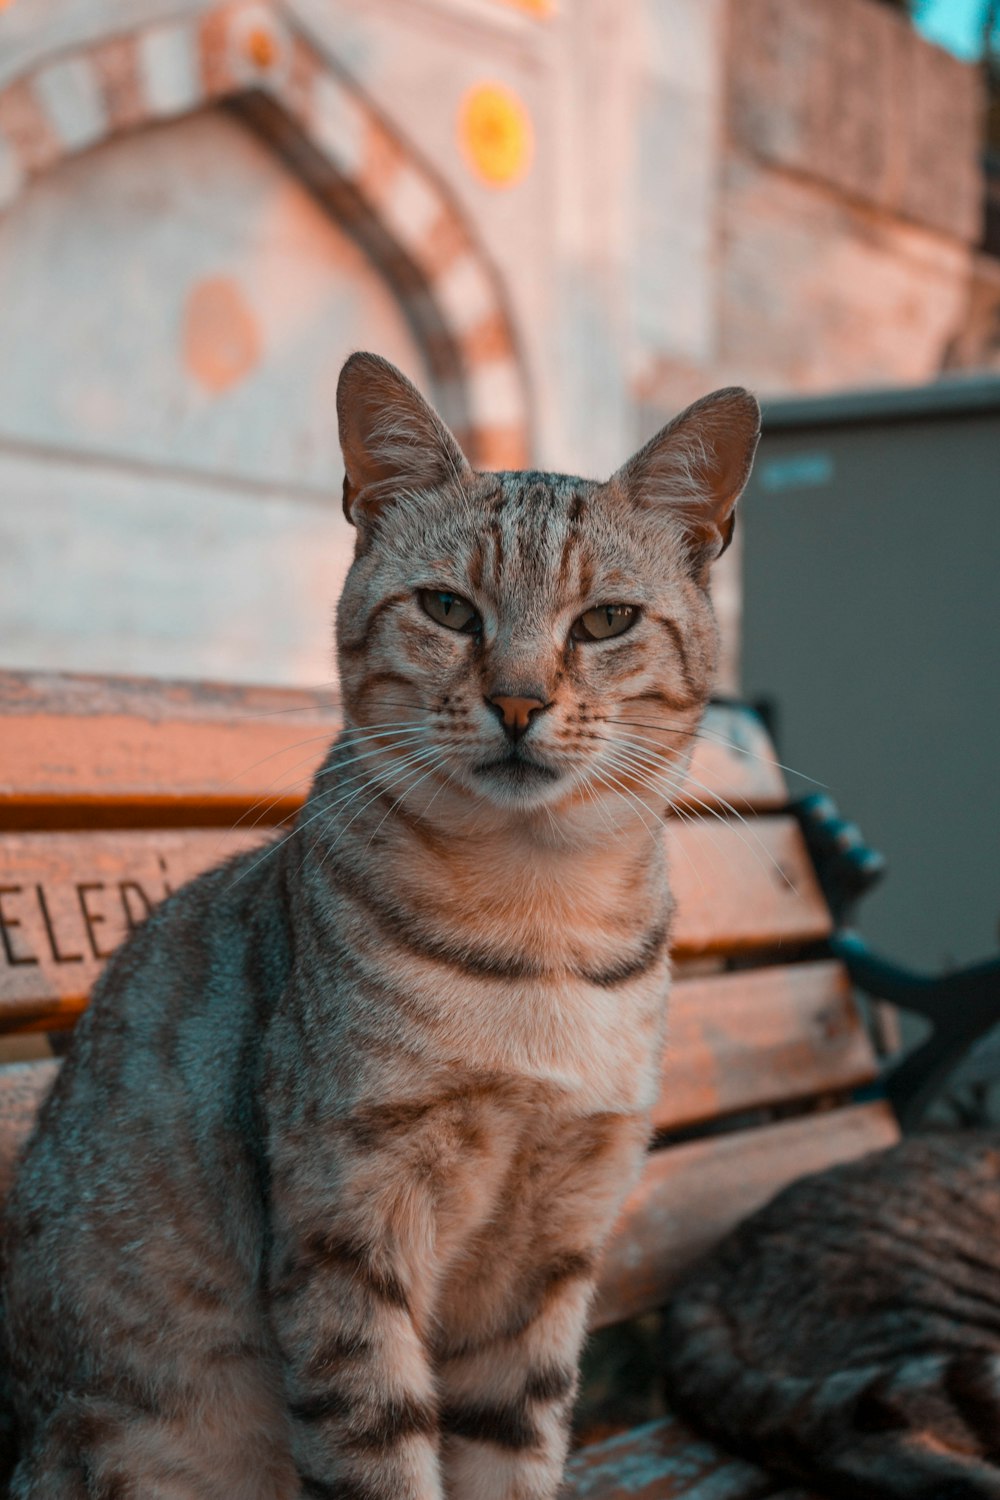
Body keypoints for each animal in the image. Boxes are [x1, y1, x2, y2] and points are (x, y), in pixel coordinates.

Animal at [0, 351, 758, 1500]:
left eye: (604, 622)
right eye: (447, 608)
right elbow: (381, 1452)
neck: (541, 922)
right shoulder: (347, 1225)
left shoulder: (552, 1249)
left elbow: (514, 1451)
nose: (518, 701)